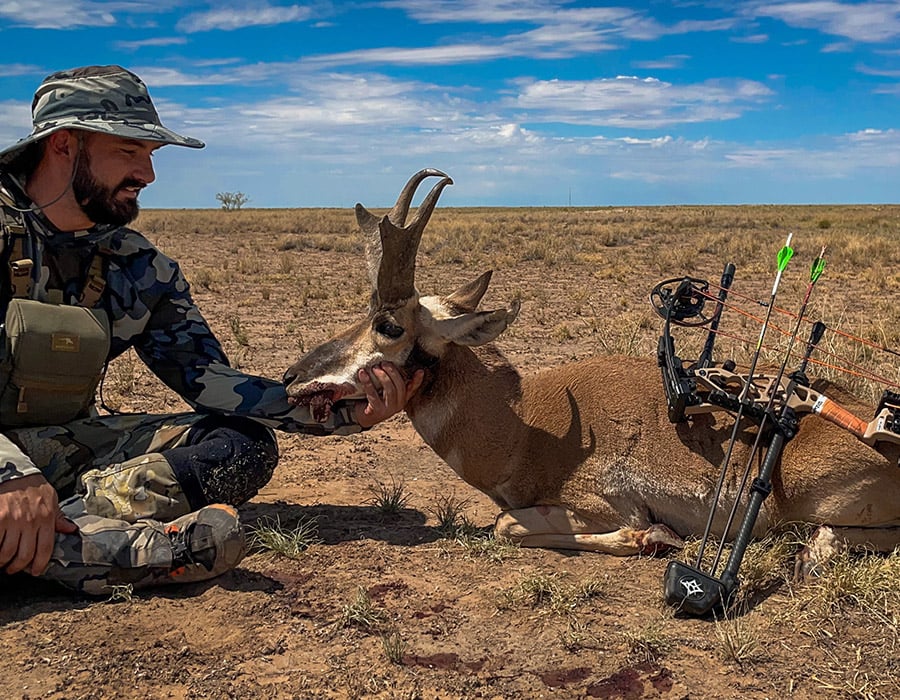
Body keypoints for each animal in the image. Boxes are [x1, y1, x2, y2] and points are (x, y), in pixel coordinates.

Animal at [283, 169, 900, 571]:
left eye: (387, 325)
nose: (291, 377)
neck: (522, 423)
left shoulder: (601, 503)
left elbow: (508, 526)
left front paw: (653, 539)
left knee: (833, 537)